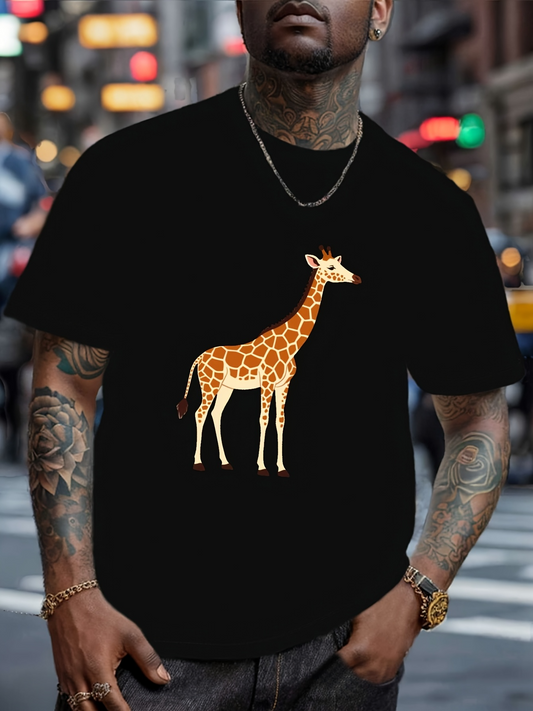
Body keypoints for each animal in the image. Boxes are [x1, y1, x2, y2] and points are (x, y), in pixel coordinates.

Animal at [177, 246, 361, 476]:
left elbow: (280, 421)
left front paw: (282, 468)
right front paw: (262, 467)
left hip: (226, 387)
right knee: (200, 413)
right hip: (210, 384)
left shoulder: (284, 384)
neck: (291, 346)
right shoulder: (266, 383)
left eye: (339, 263)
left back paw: (226, 462)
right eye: (330, 267)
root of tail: (199, 358)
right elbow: (263, 420)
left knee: (216, 414)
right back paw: (198, 463)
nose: (357, 278)